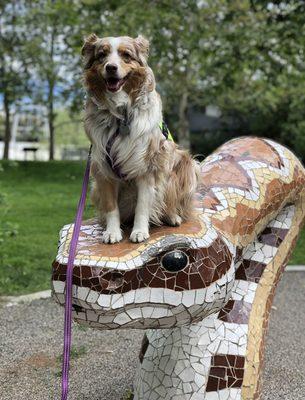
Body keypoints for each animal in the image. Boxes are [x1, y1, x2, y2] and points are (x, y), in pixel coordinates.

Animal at [82, 35, 198, 244]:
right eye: (102, 55)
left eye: (126, 55)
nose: (111, 67)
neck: (120, 116)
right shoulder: (102, 168)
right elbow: (111, 206)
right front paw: (112, 232)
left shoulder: (148, 165)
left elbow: (143, 205)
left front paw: (139, 231)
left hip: (185, 165)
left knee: (169, 201)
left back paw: (172, 217)